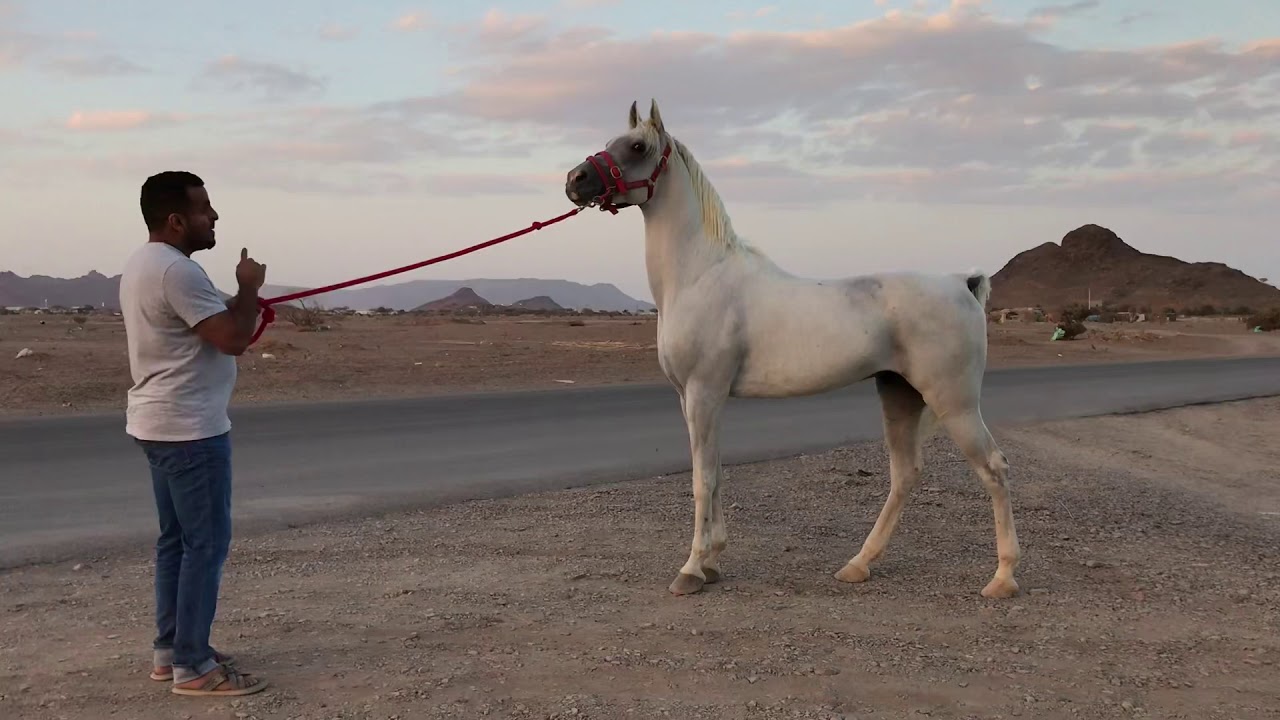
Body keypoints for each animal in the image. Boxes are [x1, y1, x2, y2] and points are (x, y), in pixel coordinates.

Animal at [562, 99, 1021, 600]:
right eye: (611, 142)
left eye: (638, 147)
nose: (574, 180)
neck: (700, 274)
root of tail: (962, 283)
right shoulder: (694, 399)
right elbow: (715, 473)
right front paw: (713, 561)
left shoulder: (704, 393)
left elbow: (702, 479)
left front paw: (692, 569)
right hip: (898, 394)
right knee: (905, 475)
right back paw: (859, 564)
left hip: (954, 403)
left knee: (994, 468)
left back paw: (1002, 578)